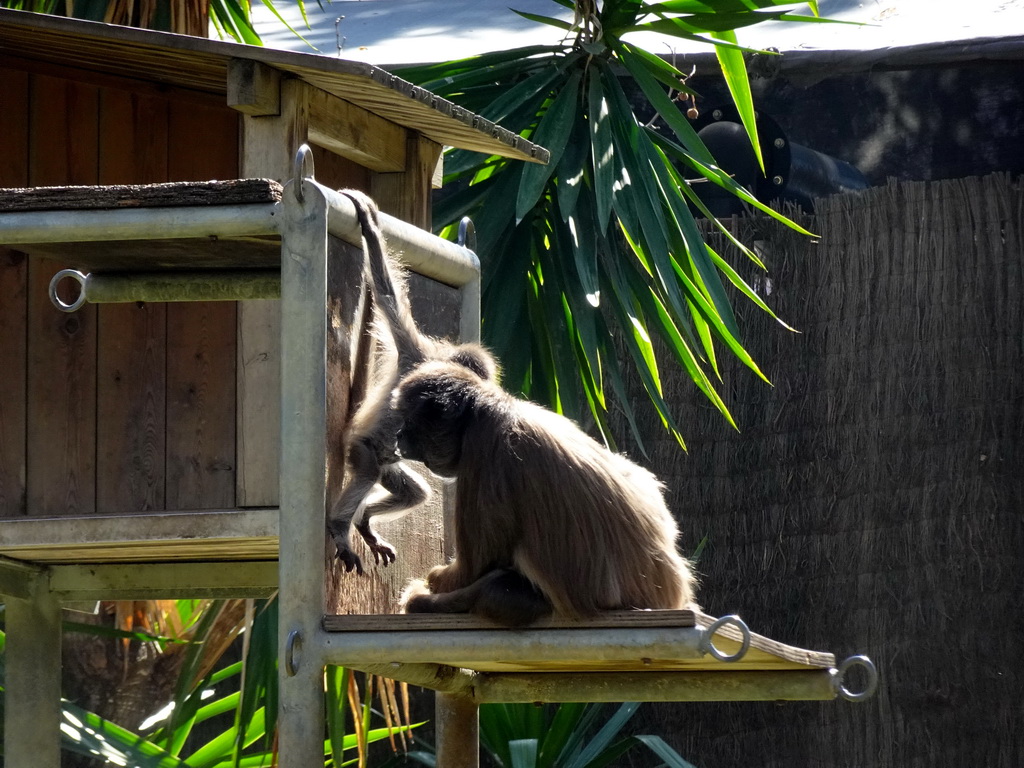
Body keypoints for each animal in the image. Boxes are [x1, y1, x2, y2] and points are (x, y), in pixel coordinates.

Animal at [329, 189, 497, 573]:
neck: (432, 363)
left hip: (389, 464)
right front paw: (370, 227)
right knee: (367, 472)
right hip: (363, 448)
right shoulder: (413, 351)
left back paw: (364, 521)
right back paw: (340, 527)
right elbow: (387, 294)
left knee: (413, 491)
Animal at [395, 364, 700, 626]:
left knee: (496, 590)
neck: (494, 408)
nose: (398, 435)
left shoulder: (484, 447)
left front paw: (432, 582)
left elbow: (473, 569)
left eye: (409, 423)